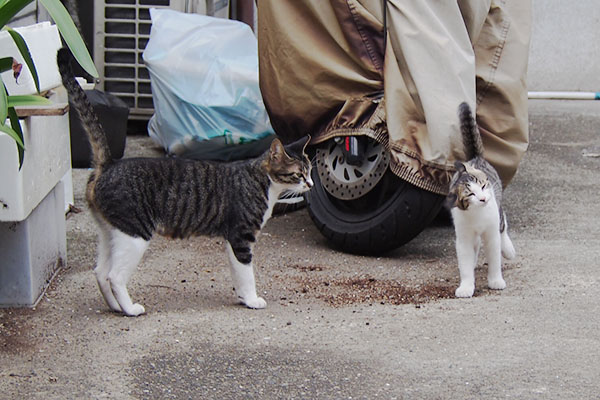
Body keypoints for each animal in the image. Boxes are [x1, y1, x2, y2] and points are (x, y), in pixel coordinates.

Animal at [56, 48, 314, 316]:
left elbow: (238, 274)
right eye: (298, 174)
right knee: (114, 276)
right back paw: (130, 309)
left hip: (111, 231)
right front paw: (253, 300)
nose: (311, 185)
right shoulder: (241, 236)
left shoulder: (232, 238)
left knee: (100, 272)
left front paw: (243, 298)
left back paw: (116, 307)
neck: (263, 182)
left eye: (310, 171)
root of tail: (108, 164)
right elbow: (247, 273)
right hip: (134, 233)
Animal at [446, 102, 516, 296]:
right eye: (470, 194)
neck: (476, 214)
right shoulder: (463, 237)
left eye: (483, 186)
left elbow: (494, 258)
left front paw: (496, 280)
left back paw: (508, 250)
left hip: (498, 209)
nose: (484, 199)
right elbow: (465, 262)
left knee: (503, 225)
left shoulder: (491, 233)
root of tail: (475, 158)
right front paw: (466, 286)